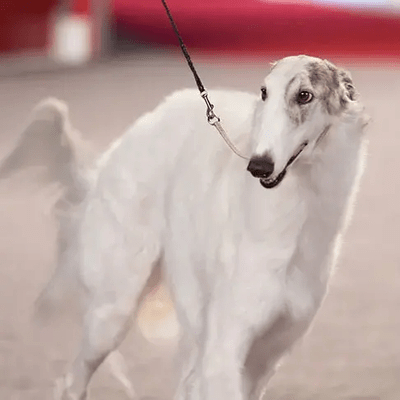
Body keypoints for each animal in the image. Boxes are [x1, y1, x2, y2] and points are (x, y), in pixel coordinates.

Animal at [0, 54, 368, 400]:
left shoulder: (265, 357)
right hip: (112, 311)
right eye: (264, 92)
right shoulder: (225, 348)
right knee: (71, 381)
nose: (258, 165)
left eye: (304, 95)